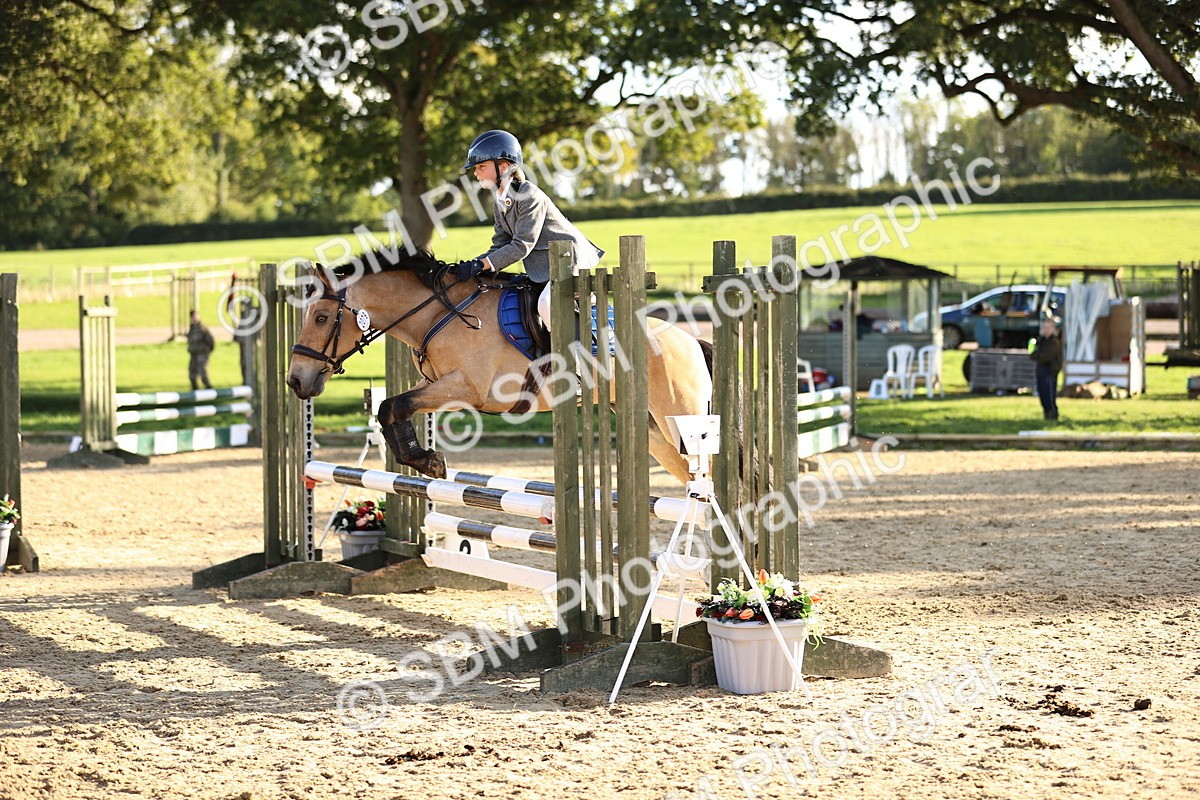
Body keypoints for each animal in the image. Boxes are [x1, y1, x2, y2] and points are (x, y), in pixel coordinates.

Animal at [284, 248, 714, 486]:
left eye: (321, 317)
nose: (295, 381)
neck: (436, 313)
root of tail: (692, 340)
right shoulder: (439, 386)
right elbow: (391, 407)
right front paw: (423, 459)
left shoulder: (469, 388)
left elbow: (396, 404)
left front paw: (430, 461)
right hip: (653, 431)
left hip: (679, 418)